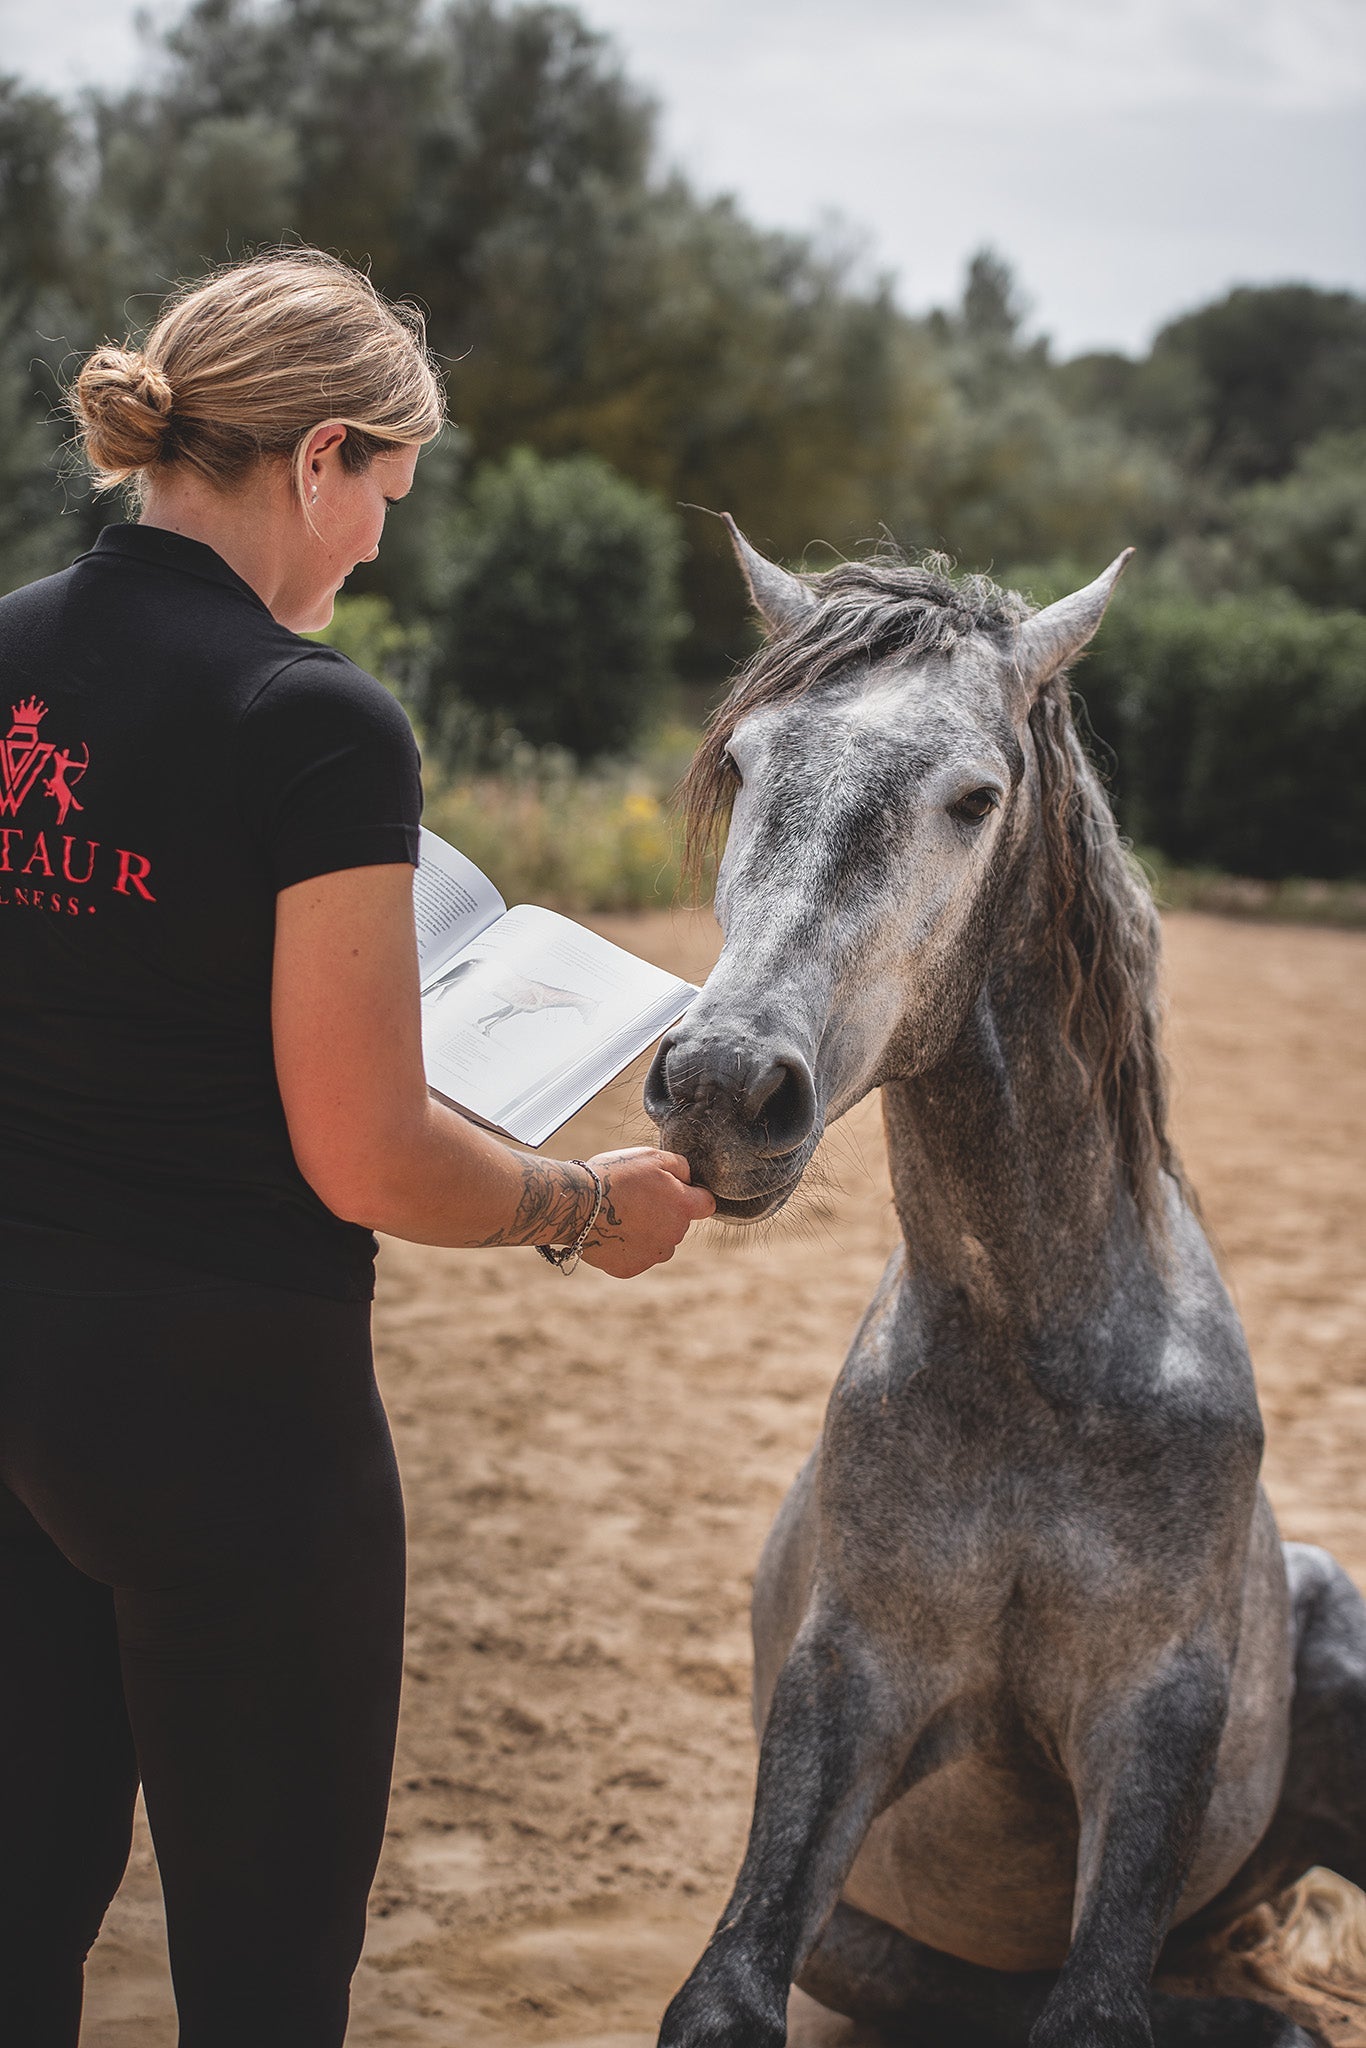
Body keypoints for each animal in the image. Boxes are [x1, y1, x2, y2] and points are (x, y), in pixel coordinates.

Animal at [644, 523, 1366, 2048]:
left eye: (974, 799)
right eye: (745, 766)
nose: (724, 1085)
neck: (1042, 1359)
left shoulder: (1151, 1719)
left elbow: (1093, 2009)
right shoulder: (851, 1677)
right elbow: (728, 1990)